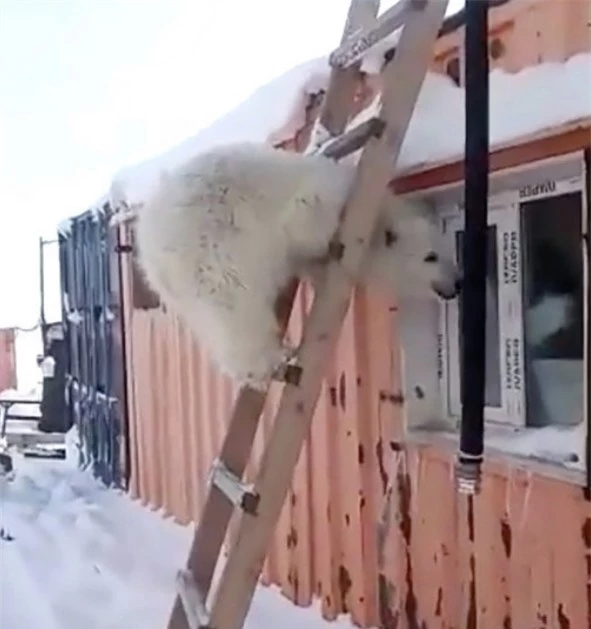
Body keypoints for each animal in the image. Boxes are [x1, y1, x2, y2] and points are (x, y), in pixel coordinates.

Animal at [134, 142, 462, 388]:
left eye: (450, 249)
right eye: (431, 256)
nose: (458, 283)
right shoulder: (322, 199)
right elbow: (308, 222)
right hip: (211, 240)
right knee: (233, 299)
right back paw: (270, 361)